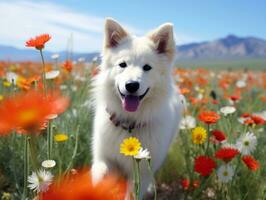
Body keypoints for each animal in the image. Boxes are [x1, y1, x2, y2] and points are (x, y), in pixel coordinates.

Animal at [92, 18, 183, 198]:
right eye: (122, 64)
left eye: (147, 67)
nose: (132, 85)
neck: (129, 124)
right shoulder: (103, 157)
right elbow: (100, 173)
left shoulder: (142, 171)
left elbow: (133, 193)